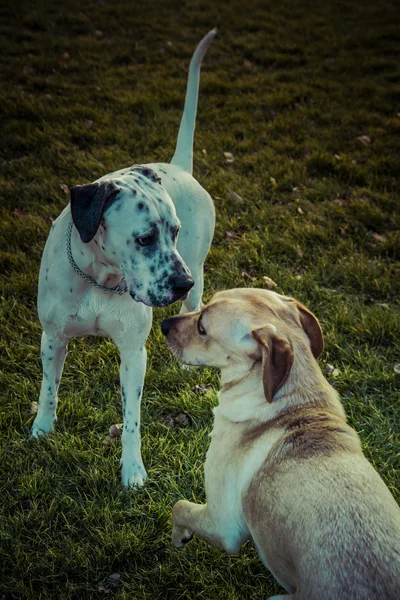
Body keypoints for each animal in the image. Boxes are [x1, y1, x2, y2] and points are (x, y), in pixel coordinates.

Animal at [32, 29, 217, 488]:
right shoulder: (52, 337)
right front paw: (41, 428)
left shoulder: (134, 353)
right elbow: (49, 389)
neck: (100, 277)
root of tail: (178, 167)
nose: (181, 282)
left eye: (174, 232)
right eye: (145, 238)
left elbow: (132, 420)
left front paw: (132, 469)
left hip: (199, 271)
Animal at [161, 288, 400, 600]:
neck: (292, 400)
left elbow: (179, 507)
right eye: (204, 303)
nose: (163, 324)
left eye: (202, 327)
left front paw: (179, 537)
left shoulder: (223, 524)